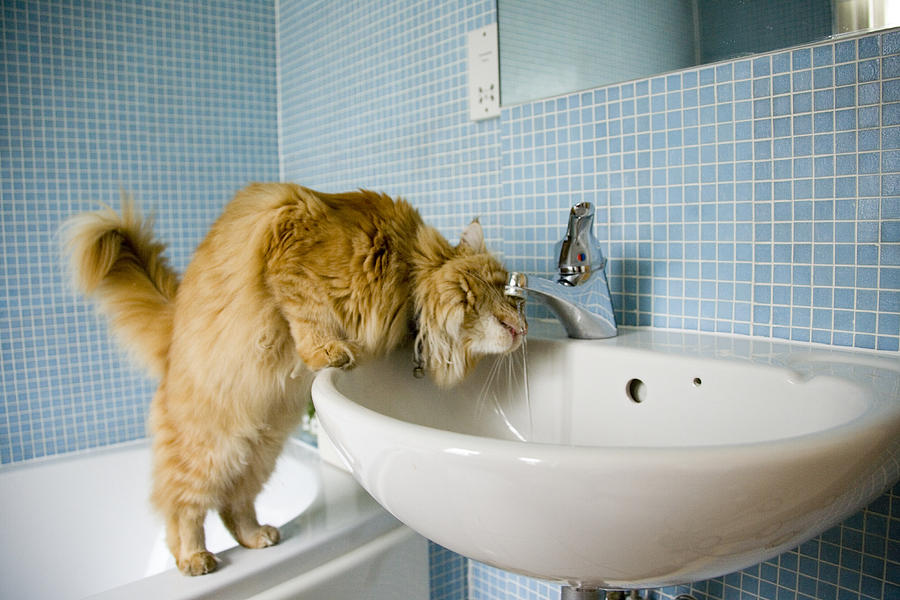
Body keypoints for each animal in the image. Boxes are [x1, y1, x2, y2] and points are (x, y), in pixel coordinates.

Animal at [67, 180, 528, 576]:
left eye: (521, 303)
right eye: (507, 294)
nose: (524, 328)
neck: (407, 273)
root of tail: (172, 332)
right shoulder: (289, 244)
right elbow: (308, 314)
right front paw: (328, 352)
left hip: (260, 450)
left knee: (234, 506)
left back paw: (258, 537)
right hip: (209, 449)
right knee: (181, 509)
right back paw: (194, 558)